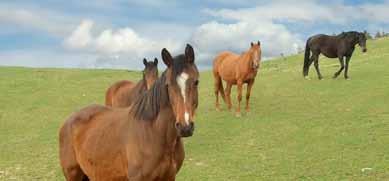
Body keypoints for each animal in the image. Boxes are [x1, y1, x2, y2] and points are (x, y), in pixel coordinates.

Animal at [59, 44, 200, 181]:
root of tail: (68, 120)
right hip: (73, 175)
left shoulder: (169, 177)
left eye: (196, 82)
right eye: (168, 84)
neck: (154, 133)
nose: (185, 127)